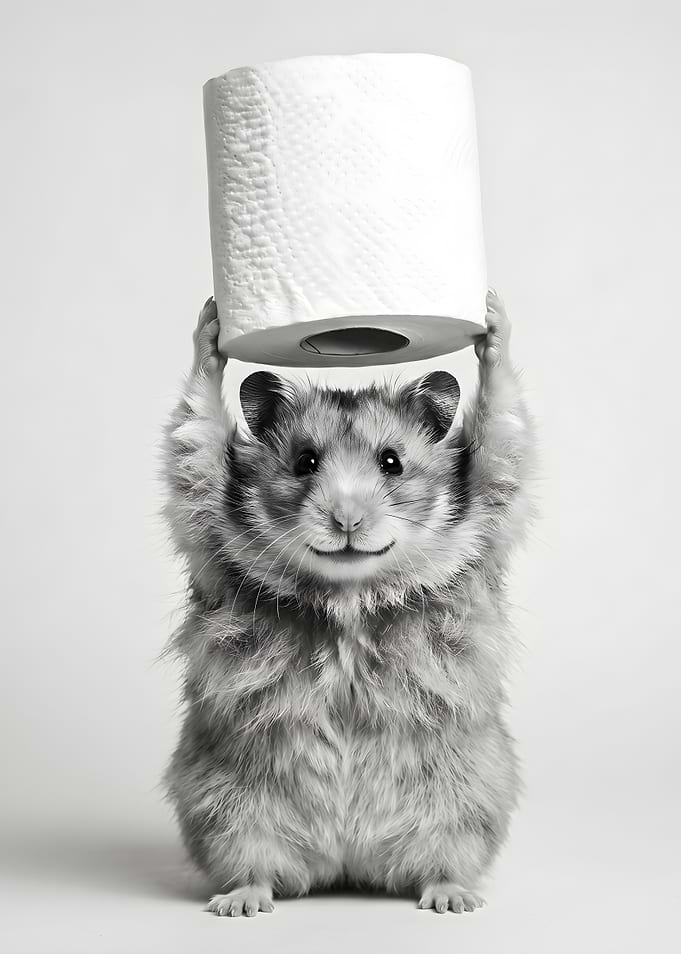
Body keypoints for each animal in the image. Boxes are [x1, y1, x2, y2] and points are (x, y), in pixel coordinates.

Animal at [162, 290, 535, 917]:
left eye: (392, 462)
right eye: (304, 462)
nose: (346, 520)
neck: (351, 593)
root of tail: (346, 863)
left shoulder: (489, 512)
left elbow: (500, 438)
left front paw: (490, 317)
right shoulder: (206, 523)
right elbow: (195, 444)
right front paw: (212, 323)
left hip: (464, 803)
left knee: (440, 863)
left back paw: (452, 899)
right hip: (227, 809)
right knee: (256, 867)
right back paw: (241, 903)